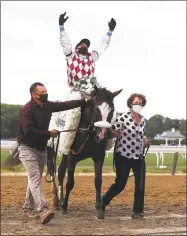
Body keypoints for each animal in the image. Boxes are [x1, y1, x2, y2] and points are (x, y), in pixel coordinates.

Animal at [50, 85, 122, 219]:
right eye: (96, 109)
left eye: (112, 110)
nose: (102, 136)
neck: (88, 133)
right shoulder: (72, 156)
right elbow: (70, 183)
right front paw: (64, 207)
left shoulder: (99, 157)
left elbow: (98, 181)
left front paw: (99, 209)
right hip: (57, 149)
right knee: (57, 172)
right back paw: (58, 202)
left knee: (61, 172)